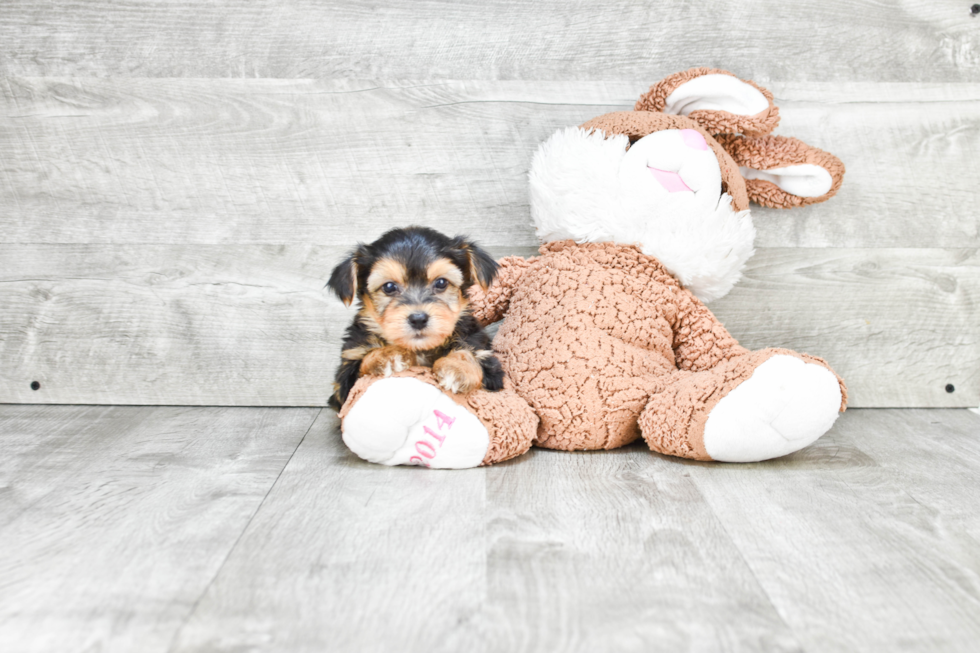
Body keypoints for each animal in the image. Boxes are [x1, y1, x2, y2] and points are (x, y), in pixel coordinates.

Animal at [328, 224, 506, 408]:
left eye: (441, 283)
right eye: (389, 287)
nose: (418, 319)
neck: (421, 349)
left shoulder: (487, 360)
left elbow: (468, 352)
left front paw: (457, 368)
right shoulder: (345, 375)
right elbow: (362, 364)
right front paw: (387, 355)